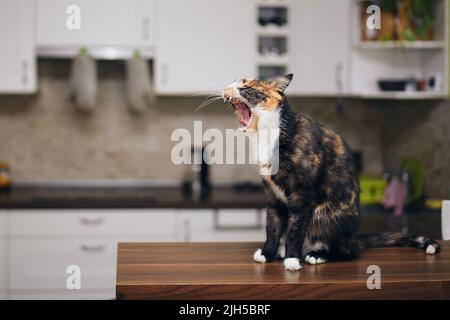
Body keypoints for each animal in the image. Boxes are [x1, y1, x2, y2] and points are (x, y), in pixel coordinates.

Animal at [221, 74, 440, 270]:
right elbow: (272, 226)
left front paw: (292, 260)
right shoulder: (273, 195)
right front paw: (267, 254)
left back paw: (315, 254)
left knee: (346, 251)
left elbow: (295, 230)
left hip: (325, 215)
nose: (226, 88)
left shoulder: (303, 196)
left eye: (247, 88)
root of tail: (352, 238)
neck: (268, 136)